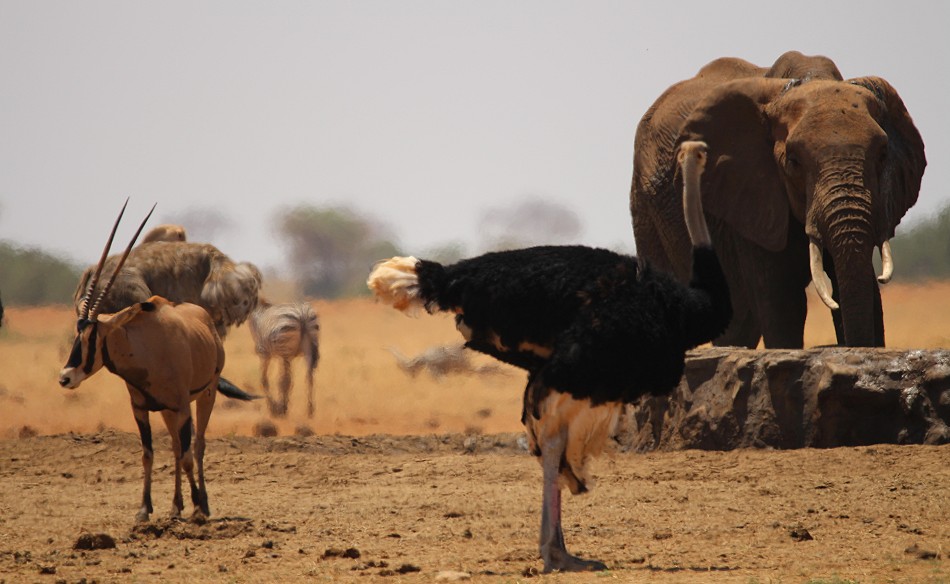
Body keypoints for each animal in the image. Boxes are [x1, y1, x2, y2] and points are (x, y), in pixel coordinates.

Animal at [61, 203, 258, 524]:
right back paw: (176, 506)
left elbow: (189, 454)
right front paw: (145, 509)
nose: (65, 377)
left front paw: (198, 507)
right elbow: (149, 453)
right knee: (178, 447)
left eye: (95, 336)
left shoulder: (182, 406)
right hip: (168, 409)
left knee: (197, 446)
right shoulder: (141, 409)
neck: (145, 349)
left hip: (204, 395)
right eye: (78, 333)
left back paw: (202, 504)